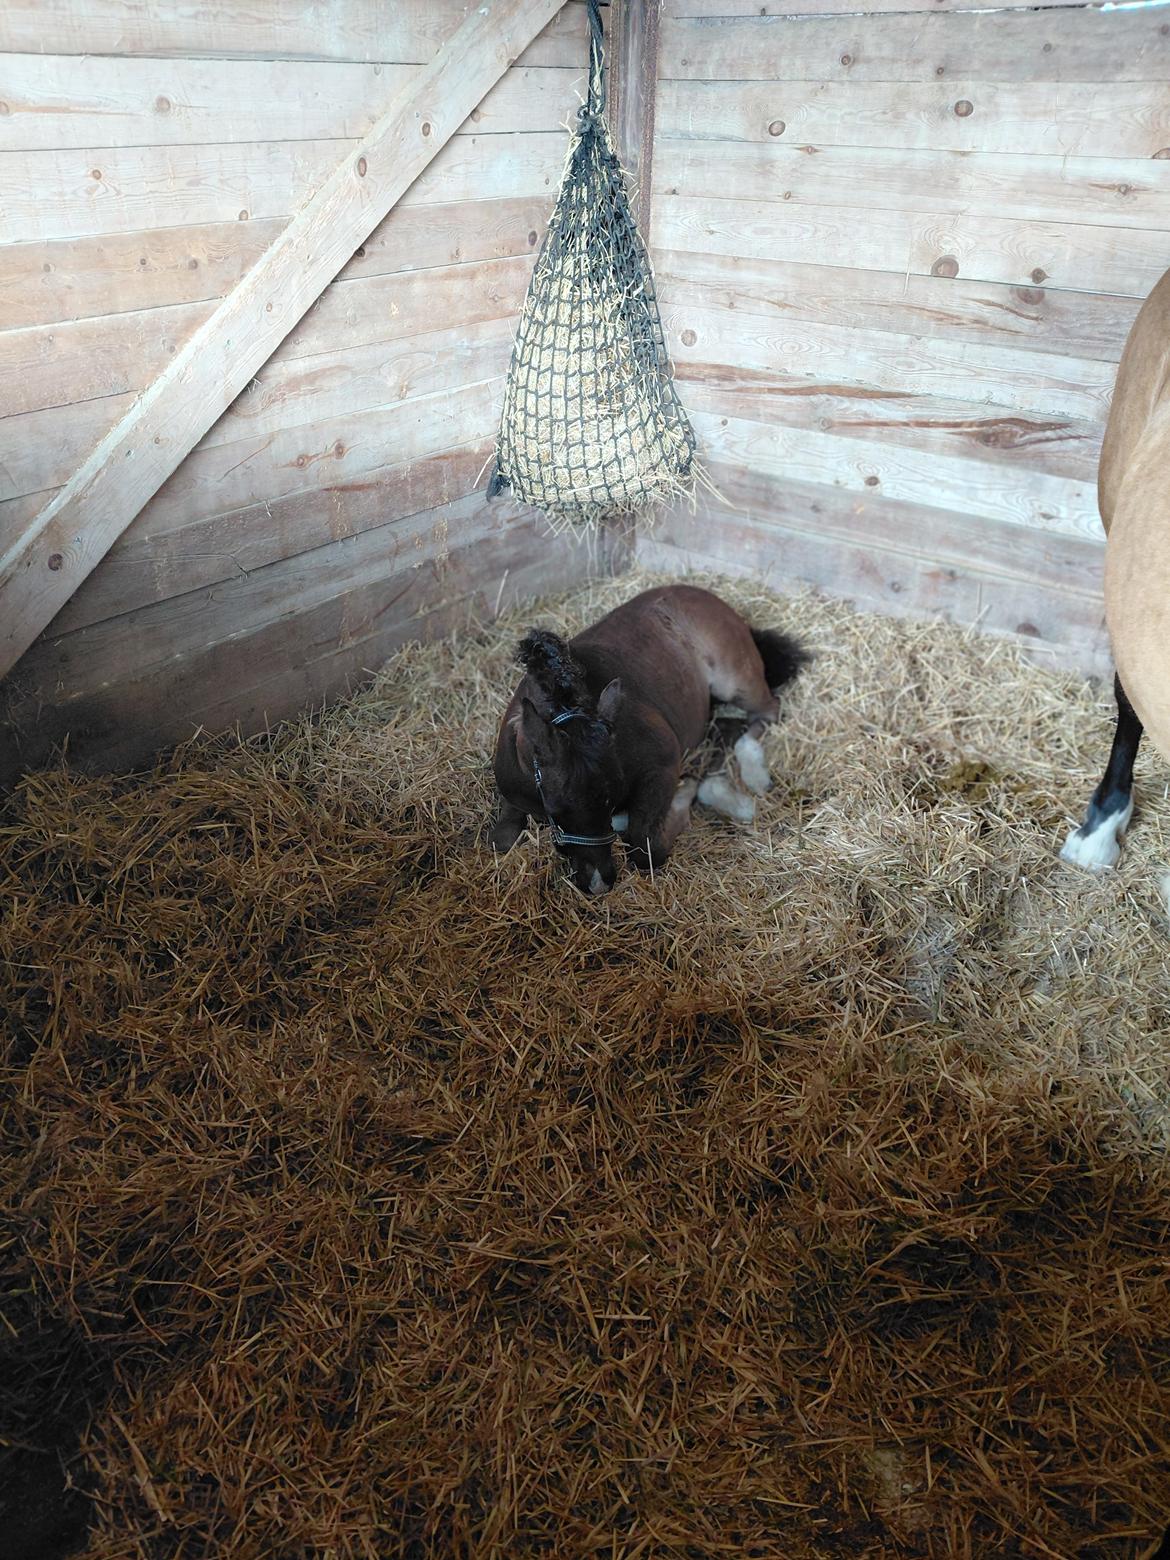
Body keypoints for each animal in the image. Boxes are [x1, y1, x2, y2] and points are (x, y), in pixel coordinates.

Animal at [490, 584, 808, 895]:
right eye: (555, 811)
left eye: (610, 801)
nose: (599, 882)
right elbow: (499, 839)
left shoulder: (663, 762)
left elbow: (646, 850)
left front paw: (685, 791)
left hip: (732, 680)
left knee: (768, 711)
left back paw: (751, 777)